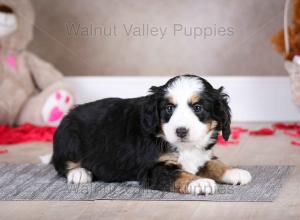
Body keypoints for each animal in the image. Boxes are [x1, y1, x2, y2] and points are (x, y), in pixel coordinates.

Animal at [52, 75, 252, 195]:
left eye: (198, 108)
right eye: (169, 108)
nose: (181, 131)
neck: (184, 147)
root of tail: (69, 114)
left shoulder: (202, 154)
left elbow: (214, 163)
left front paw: (234, 171)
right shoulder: (153, 169)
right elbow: (179, 174)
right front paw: (200, 183)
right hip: (70, 139)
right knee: (61, 163)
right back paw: (79, 173)